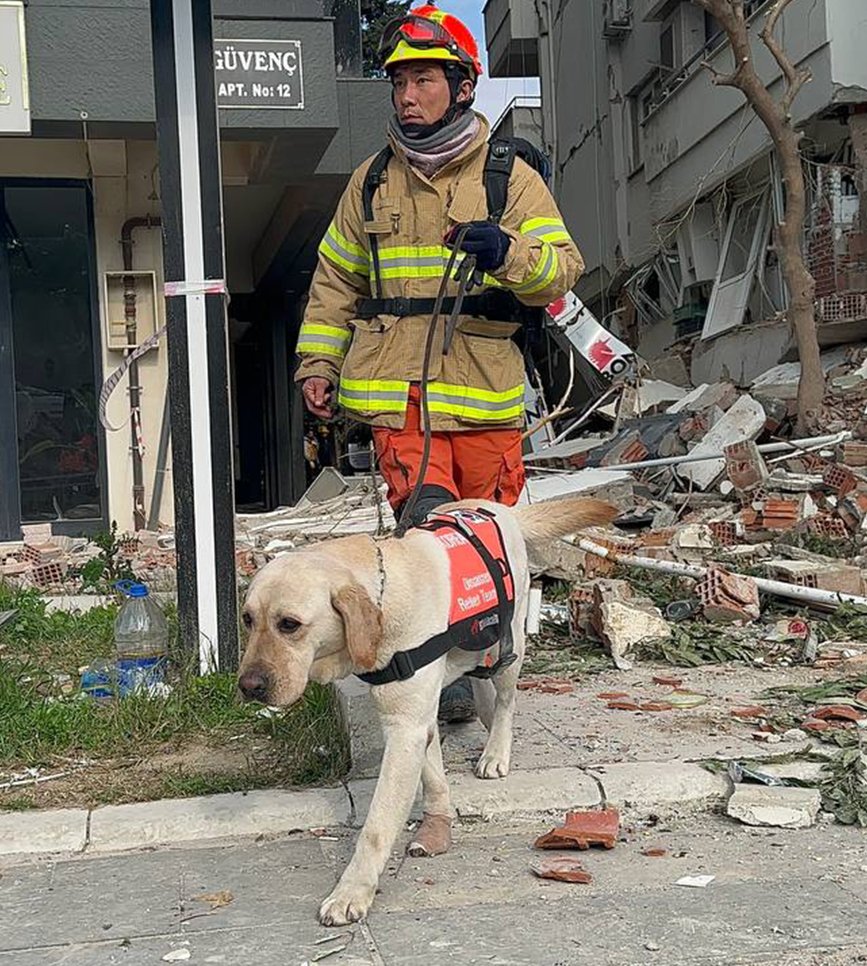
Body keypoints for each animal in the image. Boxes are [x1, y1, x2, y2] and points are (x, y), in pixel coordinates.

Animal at [237, 496, 616, 928]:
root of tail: (499, 508)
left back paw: (497, 751)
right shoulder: (415, 720)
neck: (383, 596)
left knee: (505, 699)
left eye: (289, 624)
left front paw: (352, 892)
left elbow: (377, 825)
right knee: (480, 686)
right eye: (248, 619)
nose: (248, 687)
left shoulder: (405, 729)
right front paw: (437, 823)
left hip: (510, 644)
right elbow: (433, 776)